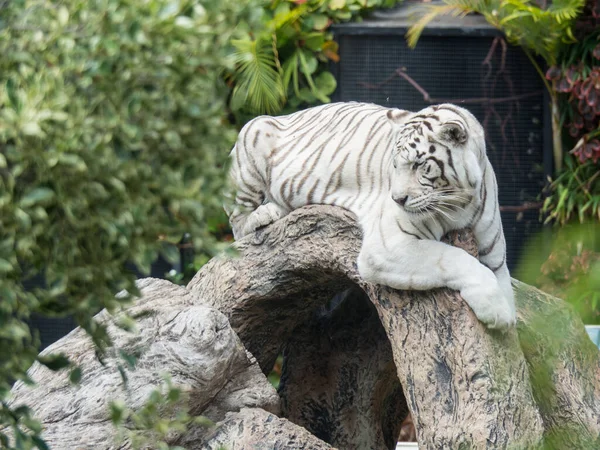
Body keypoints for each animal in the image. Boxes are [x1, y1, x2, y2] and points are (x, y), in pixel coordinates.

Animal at [227, 102, 516, 328]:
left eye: (419, 164)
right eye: (395, 165)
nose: (397, 199)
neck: (461, 202)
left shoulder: (495, 257)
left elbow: (502, 280)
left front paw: (506, 312)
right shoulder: (388, 245)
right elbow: (453, 258)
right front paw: (498, 311)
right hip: (252, 141)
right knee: (237, 223)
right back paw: (267, 213)